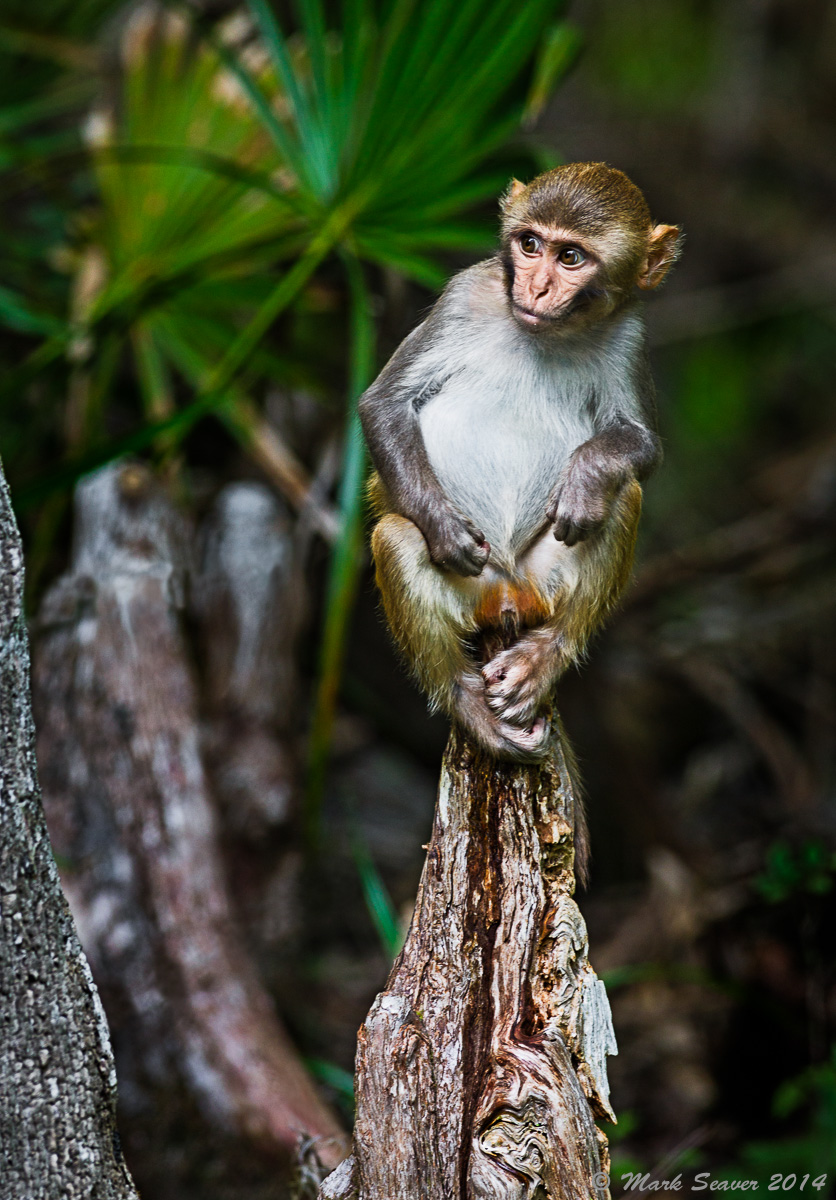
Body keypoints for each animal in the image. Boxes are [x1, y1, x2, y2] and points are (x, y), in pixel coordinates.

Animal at [360, 162, 682, 763]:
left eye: (570, 257)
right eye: (530, 245)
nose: (536, 287)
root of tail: (507, 595)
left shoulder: (630, 335)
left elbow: (642, 447)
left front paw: (585, 478)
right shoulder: (464, 295)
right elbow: (385, 404)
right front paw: (443, 529)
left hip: (541, 580)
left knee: (622, 496)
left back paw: (545, 657)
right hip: (473, 585)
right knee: (395, 536)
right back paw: (465, 702)